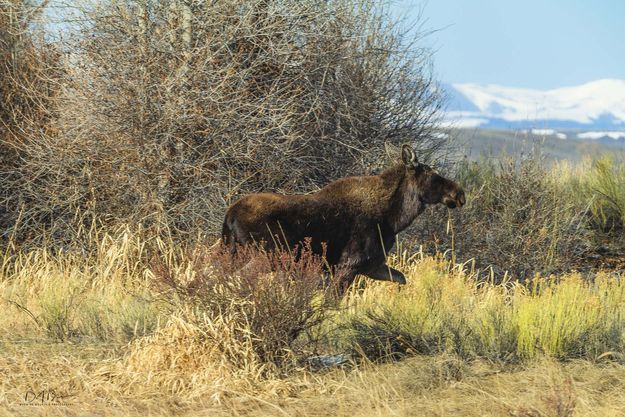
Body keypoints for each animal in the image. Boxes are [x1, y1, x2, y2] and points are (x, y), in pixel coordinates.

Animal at [221, 145, 464, 294]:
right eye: (433, 176)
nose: (459, 193)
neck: (394, 218)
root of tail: (230, 215)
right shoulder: (350, 264)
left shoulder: (372, 265)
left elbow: (401, 279)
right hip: (264, 256)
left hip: (230, 252)